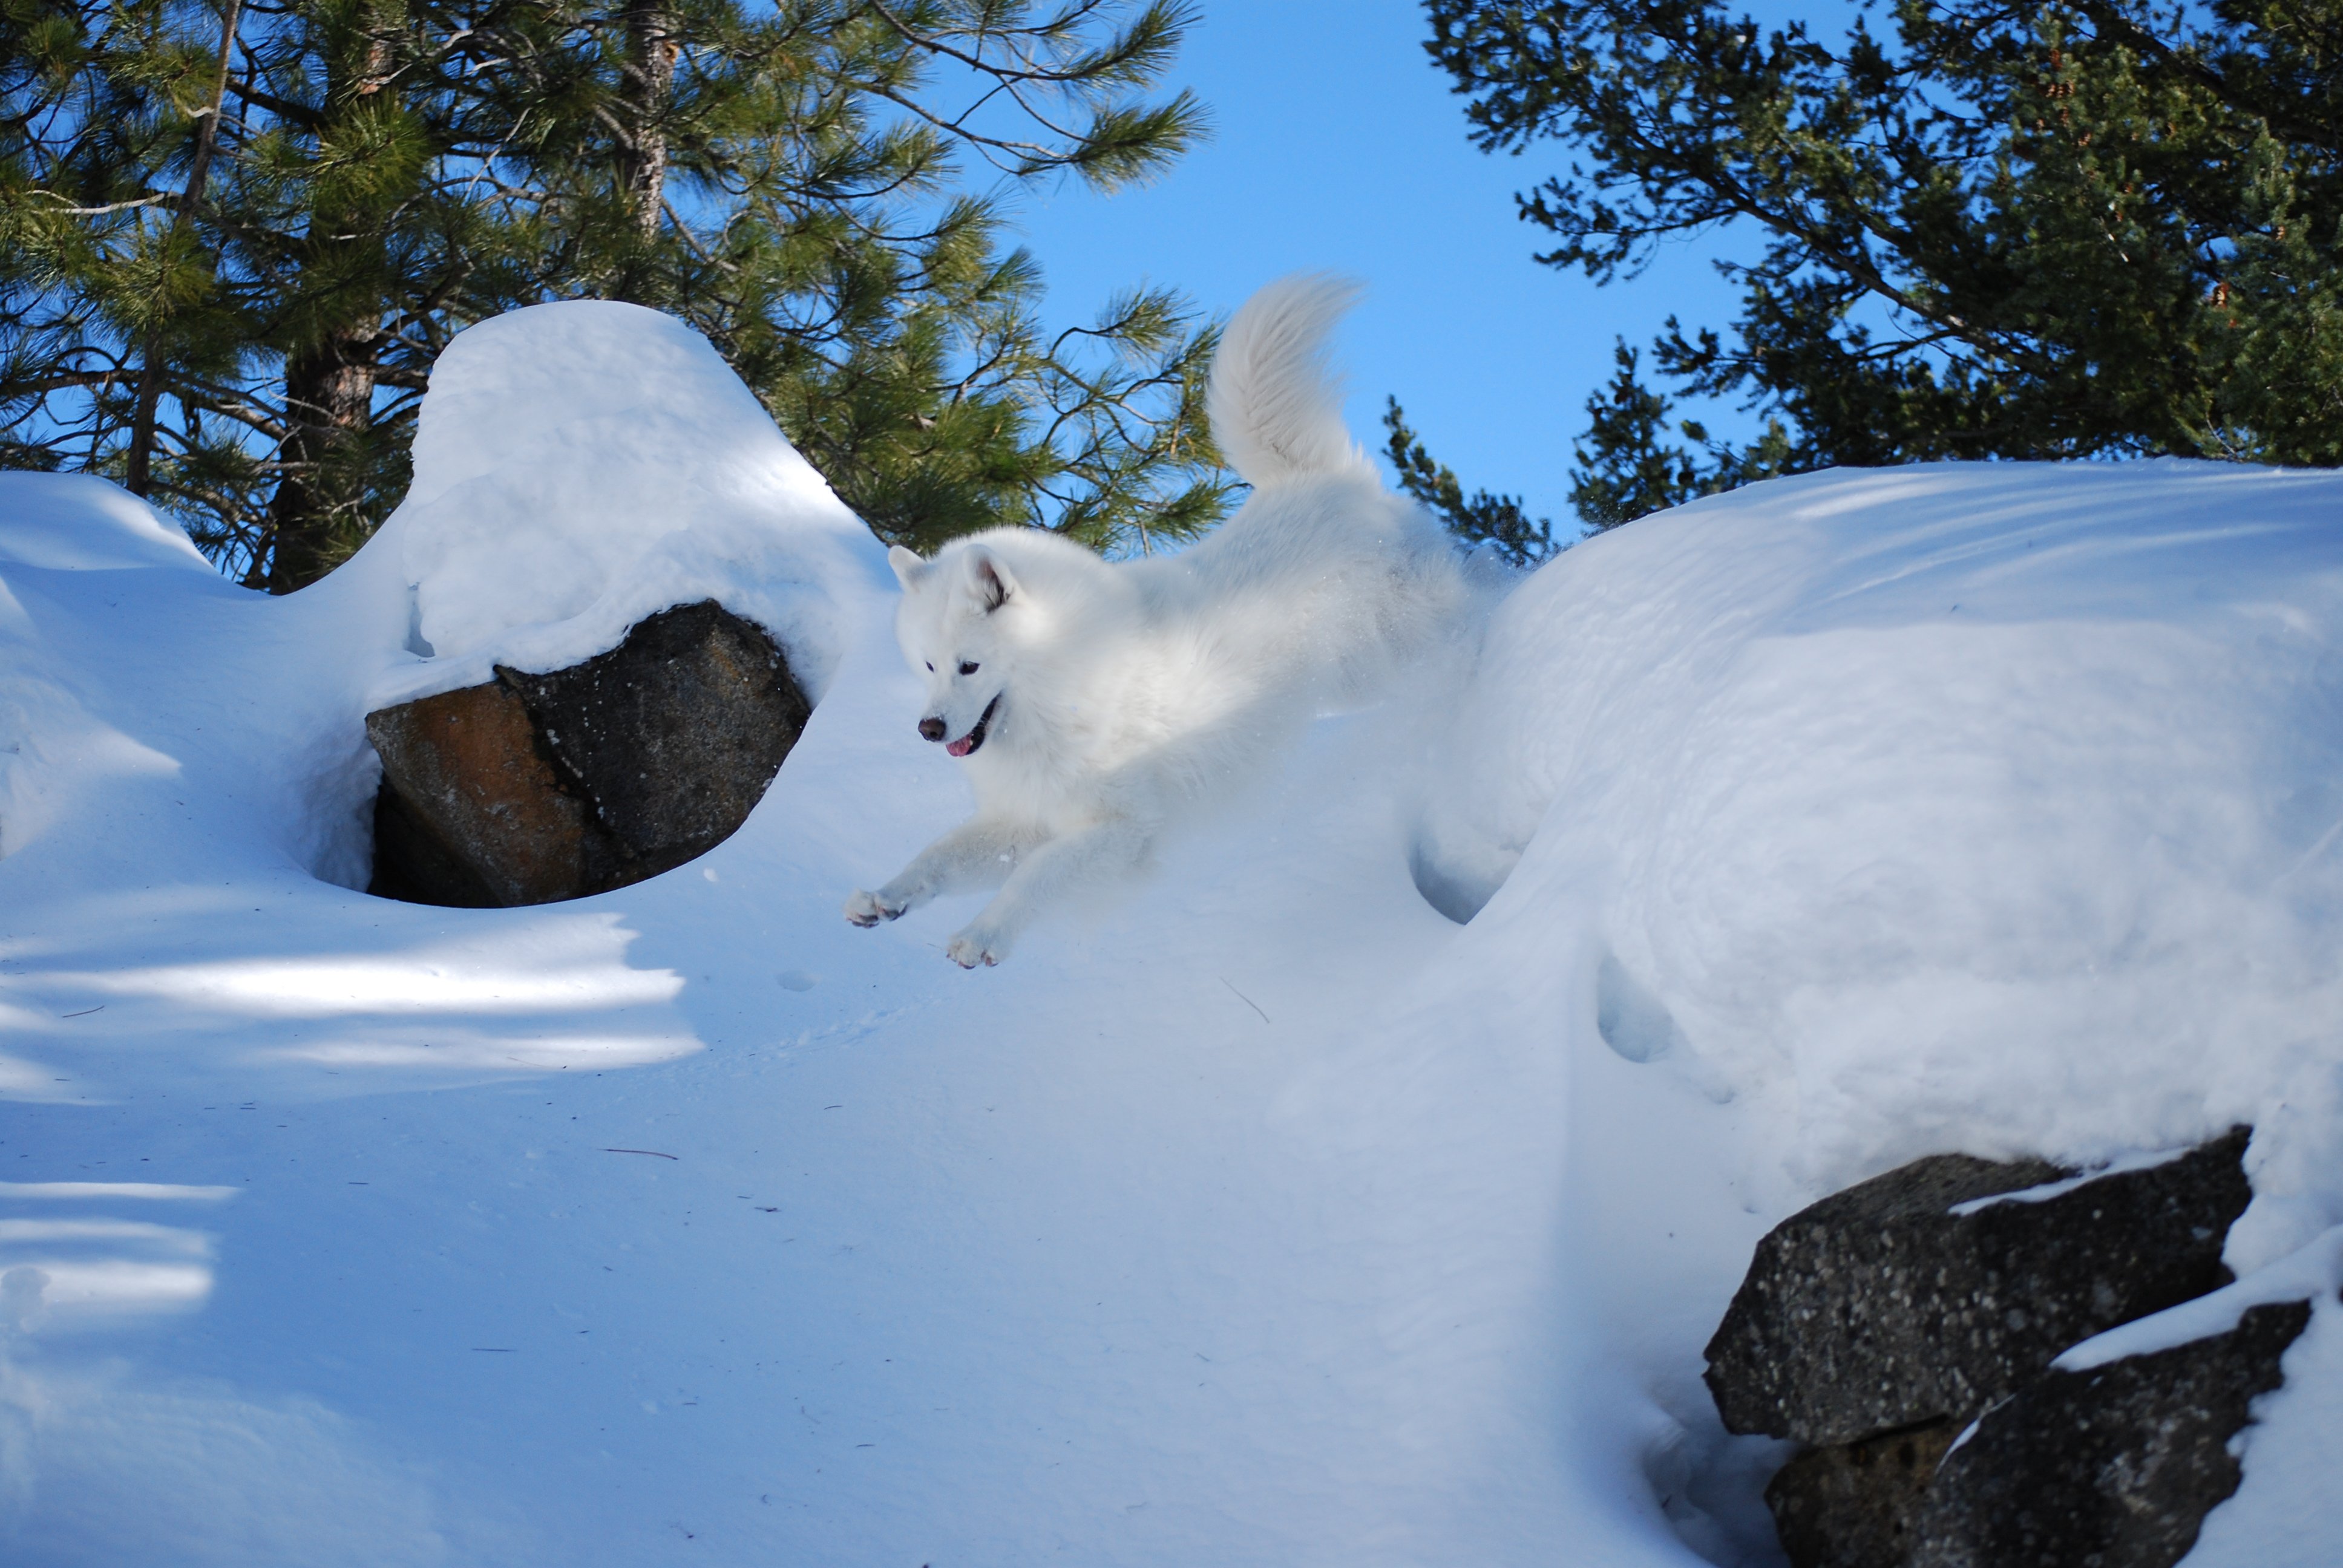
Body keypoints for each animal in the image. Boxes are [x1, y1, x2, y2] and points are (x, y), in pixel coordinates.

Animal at [843, 278, 1462, 965]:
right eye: (926, 665)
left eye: (969, 665)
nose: (927, 729)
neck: (1066, 689)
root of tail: (1317, 481)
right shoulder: (1026, 817)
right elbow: (938, 858)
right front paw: (884, 898)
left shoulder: (1119, 829)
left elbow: (1035, 880)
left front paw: (982, 936)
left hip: (1381, 660)